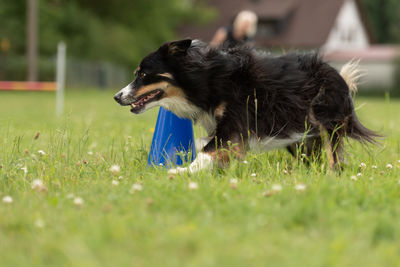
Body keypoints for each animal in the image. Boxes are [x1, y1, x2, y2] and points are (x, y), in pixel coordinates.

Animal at [113, 39, 378, 174]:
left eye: (143, 74)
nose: (117, 97)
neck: (206, 78)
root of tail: (341, 76)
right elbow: (211, 148)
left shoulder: (235, 118)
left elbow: (208, 149)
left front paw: (182, 171)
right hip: (300, 133)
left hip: (323, 116)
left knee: (333, 156)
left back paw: (332, 175)